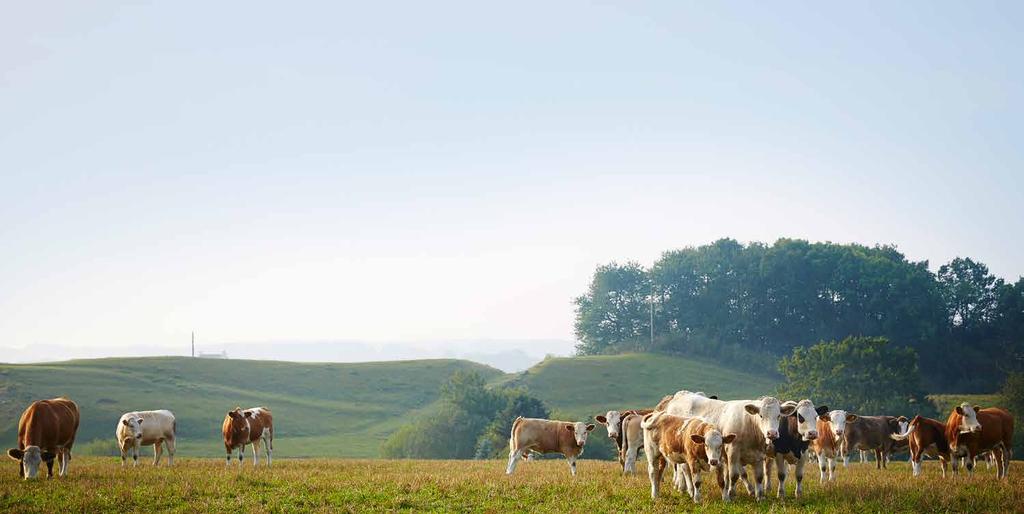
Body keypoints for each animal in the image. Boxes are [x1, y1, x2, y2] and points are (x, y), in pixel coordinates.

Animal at [659, 391, 794, 499]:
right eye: (761, 415)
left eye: (778, 415)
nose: (772, 433)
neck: (750, 425)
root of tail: (682, 394)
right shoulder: (733, 452)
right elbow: (734, 475)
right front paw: (731, 494)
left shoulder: (759, 456)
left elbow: (759, 477)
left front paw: (760, 497)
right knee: (685, 469)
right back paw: (688, 490)